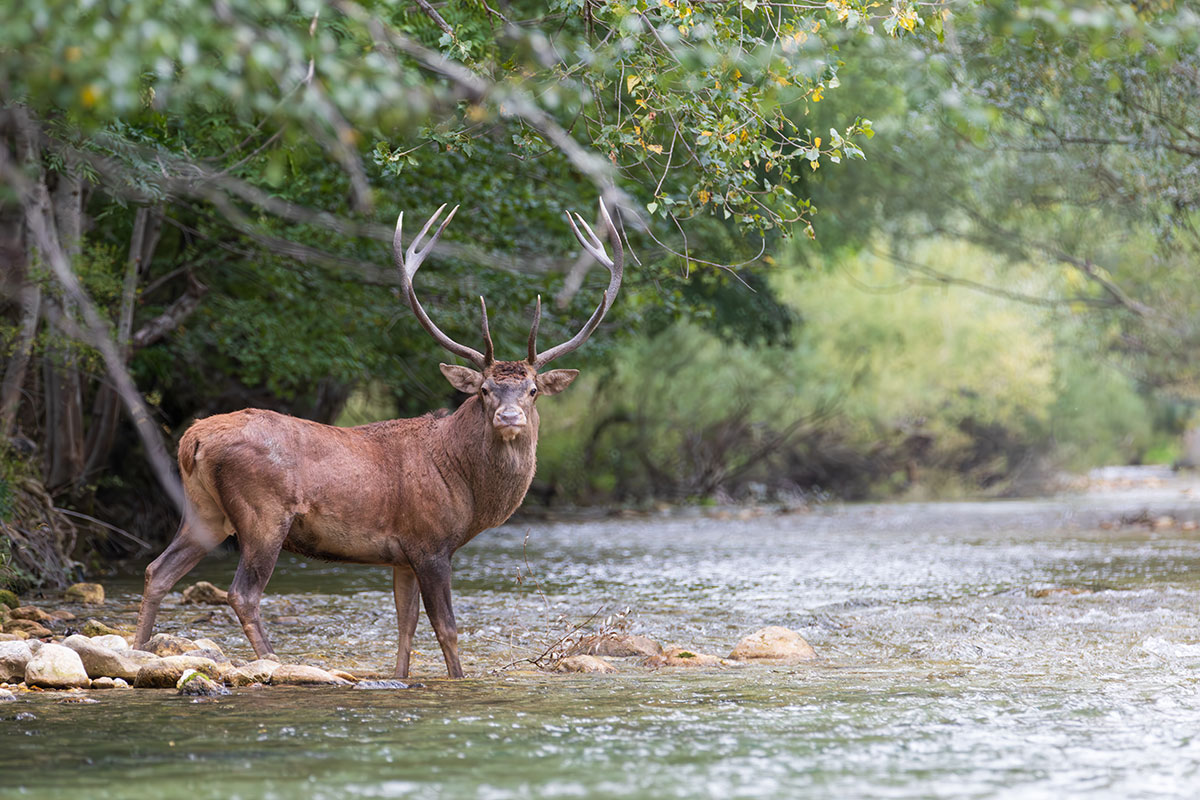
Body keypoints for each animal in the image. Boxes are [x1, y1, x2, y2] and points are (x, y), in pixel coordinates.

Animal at [132, 200, 623, 679]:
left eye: (533, 390)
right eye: (484, 390)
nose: (509, 416)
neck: (466, 488)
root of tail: (192, 439)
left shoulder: (401, 555)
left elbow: (405, 626)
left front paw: (402, 677)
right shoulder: (430, 542)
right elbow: (446, 629)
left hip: (205, 511)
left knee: (157, 570)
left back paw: (139, 651)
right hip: (263, 513)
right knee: (242, 593)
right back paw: (275, 661)